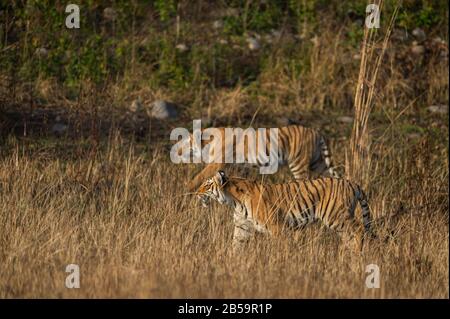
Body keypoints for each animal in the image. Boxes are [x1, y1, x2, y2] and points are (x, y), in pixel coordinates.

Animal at [178, 125, 340, 192]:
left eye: (185, 143)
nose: (178, 151)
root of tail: (316, 132)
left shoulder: (216, 163)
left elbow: (199, 177)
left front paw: (185, 189)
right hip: (318, 163)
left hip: (299, 164)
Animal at [197, 171, 376, 251]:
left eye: (207, 185)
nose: (197, 193)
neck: (234, 201)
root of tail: (352, 183)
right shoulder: (243, 227)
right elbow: (236, 245)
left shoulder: (276, 226)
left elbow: (280, 246)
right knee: (349, 236)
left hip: (336, 216)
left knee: (359, 230)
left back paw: (357, 253)